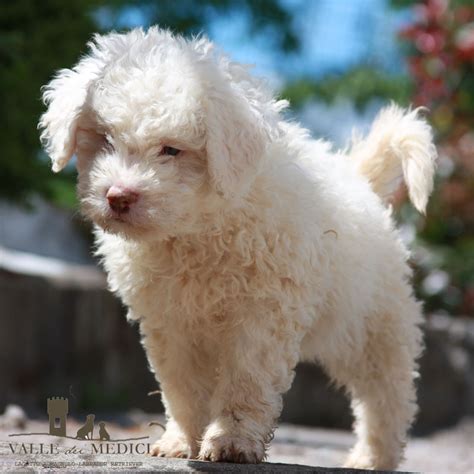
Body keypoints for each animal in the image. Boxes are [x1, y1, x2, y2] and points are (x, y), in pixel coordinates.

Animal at [38, 26, 436, 470]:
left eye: (171, 150)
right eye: (105, 139)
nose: (118, 197)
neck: (196, 231)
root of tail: (359, 180)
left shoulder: (262, 315)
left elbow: (246, 381)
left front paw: (231, 441)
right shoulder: (170, 323)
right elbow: (181, 387)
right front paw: (183, 441)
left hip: (372, 328)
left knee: (386, 394)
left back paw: (373, 457)